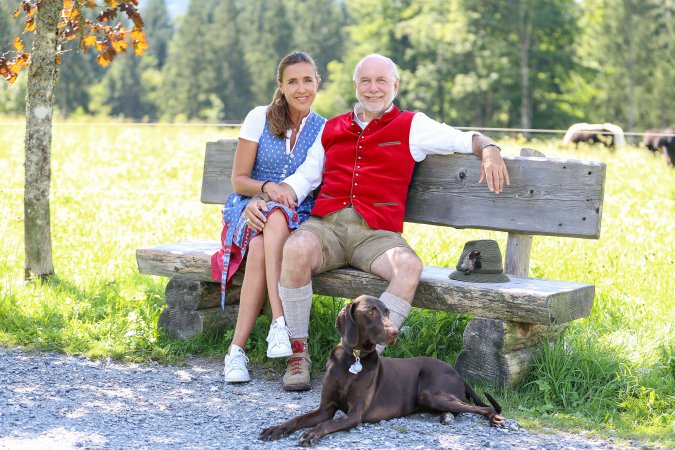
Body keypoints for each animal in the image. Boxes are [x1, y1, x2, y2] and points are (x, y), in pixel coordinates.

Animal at [262, 296, 504, 446]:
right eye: (370, 311)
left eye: (387, 311)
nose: (395, 332)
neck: (353, 358)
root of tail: (457, 374)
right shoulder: (325, 408)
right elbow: (298, 418)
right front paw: (276, 428)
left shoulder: (354, 414)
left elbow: (328, 424)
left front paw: (312, 433)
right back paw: (446, 417)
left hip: (430, 393)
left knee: (481, 408)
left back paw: (493, 418)